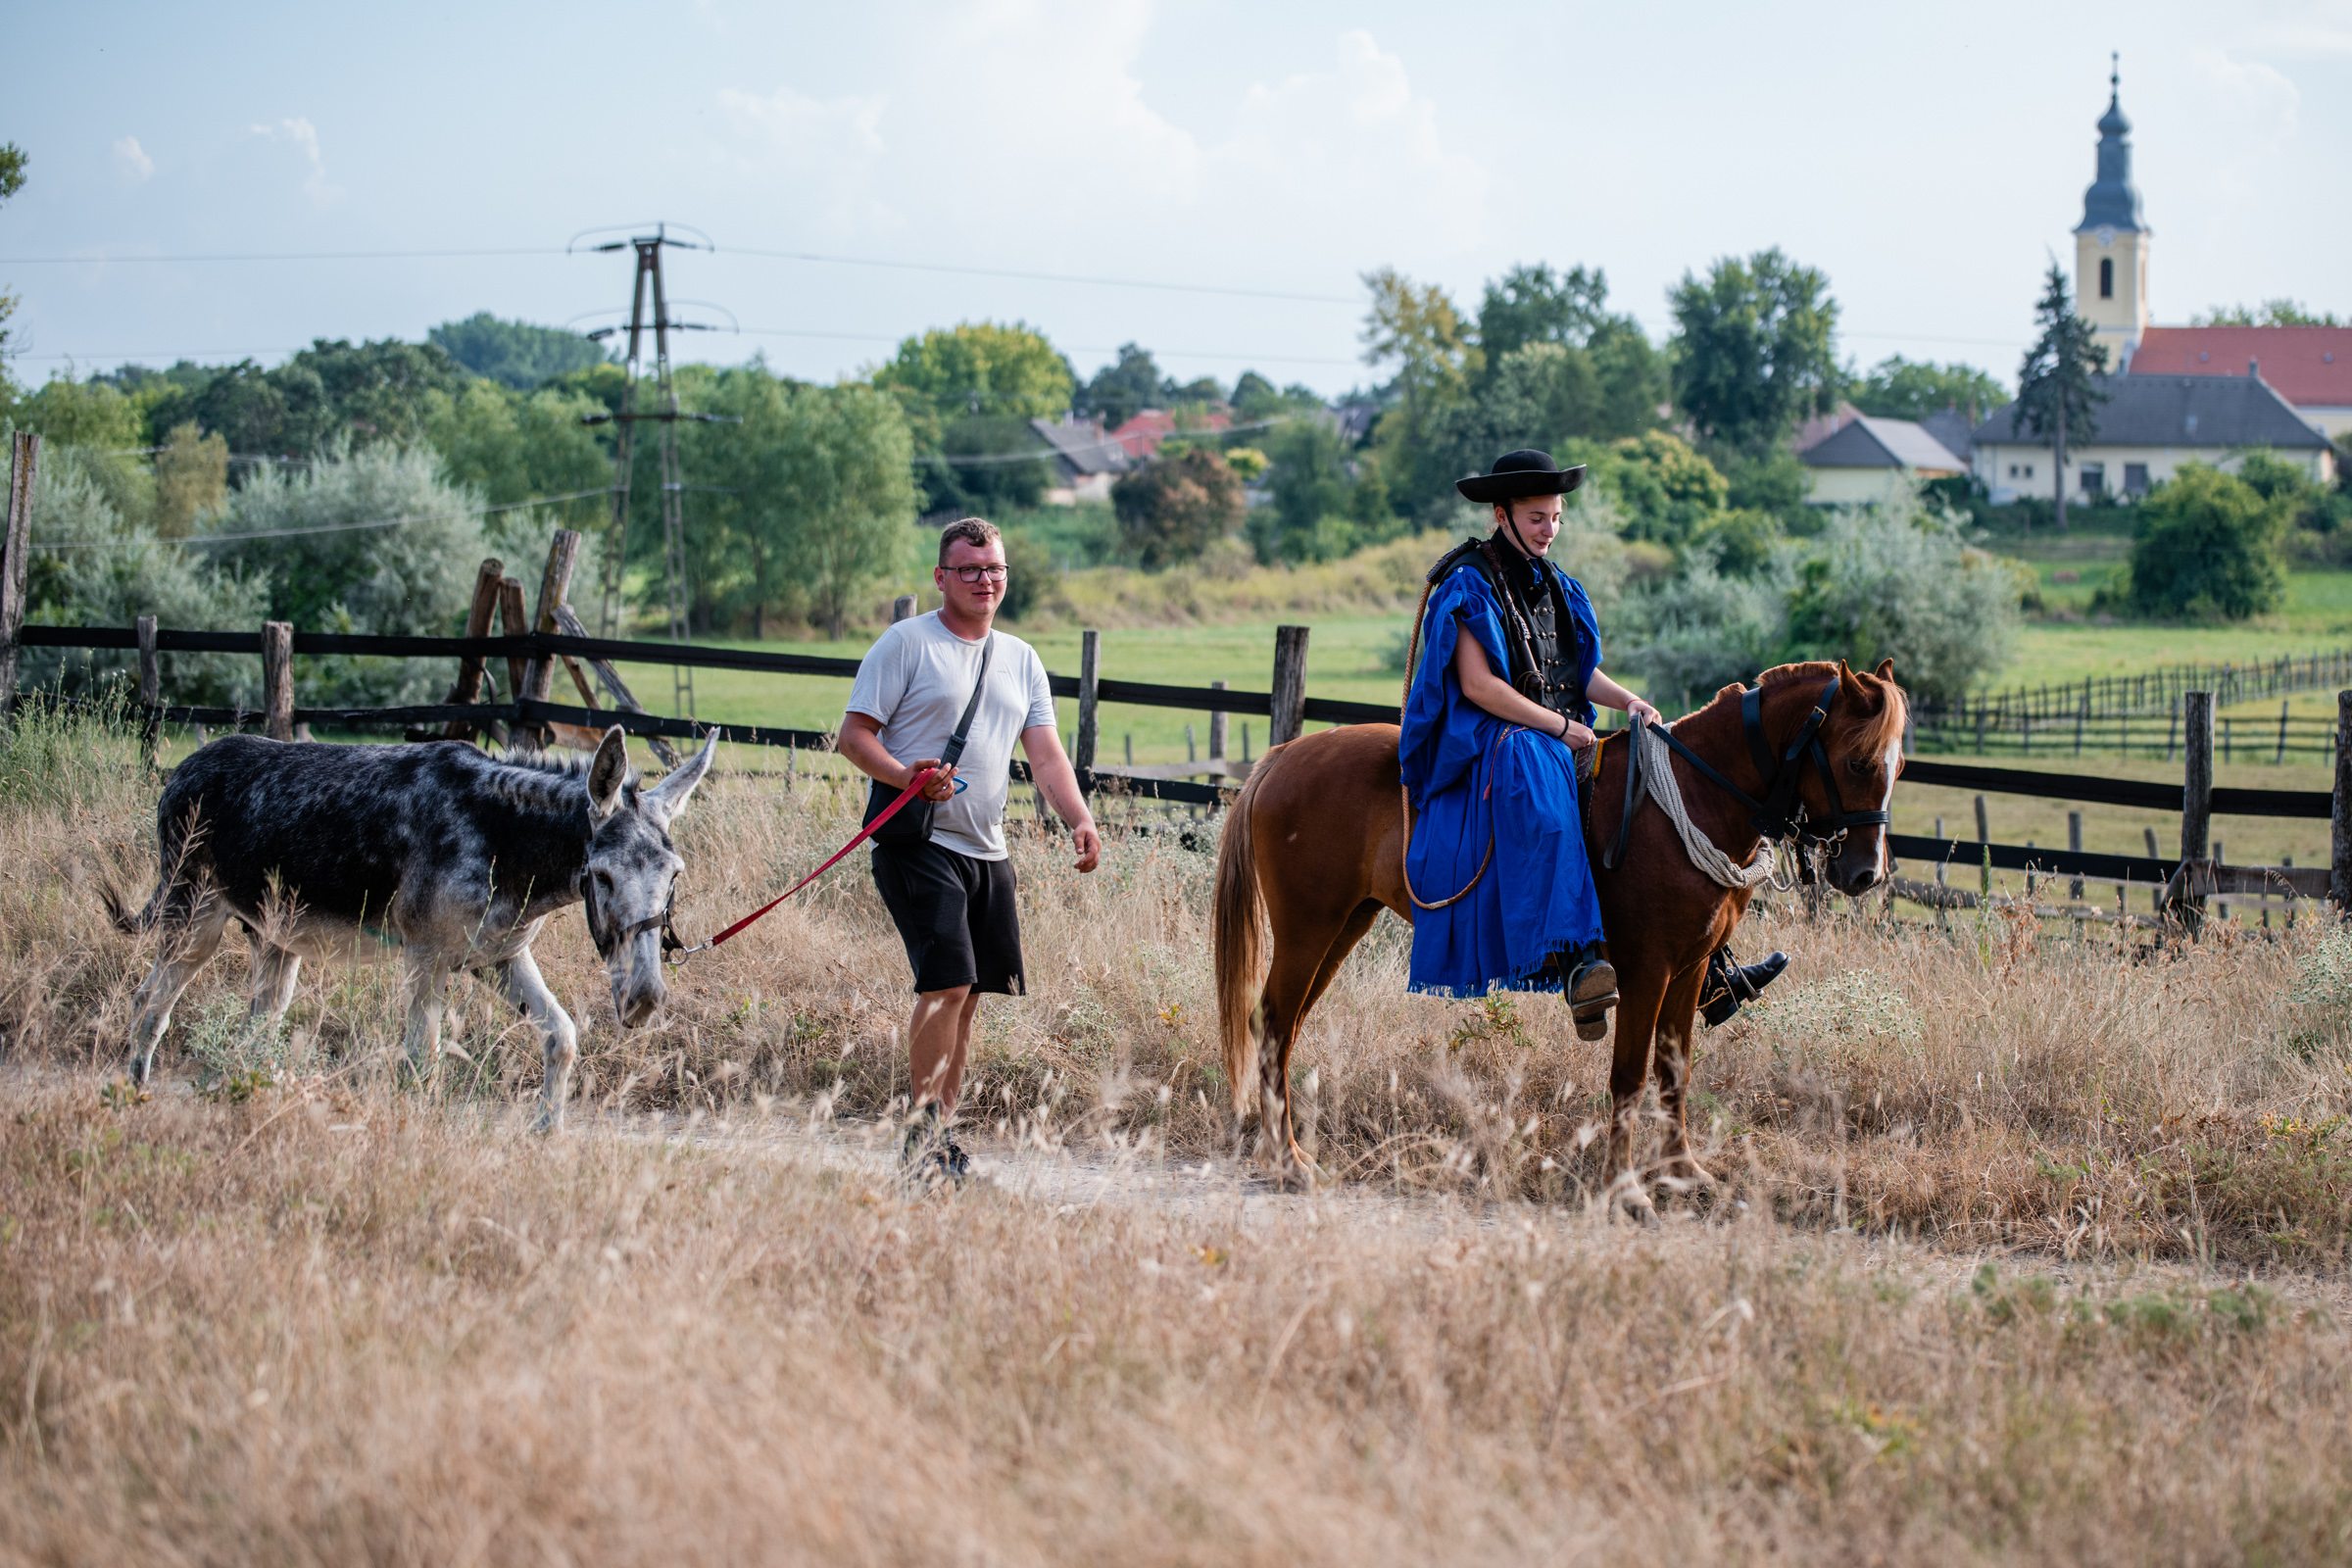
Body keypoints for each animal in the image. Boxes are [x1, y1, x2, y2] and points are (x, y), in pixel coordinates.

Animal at [1223, 658, 1900, 1212]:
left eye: (1895, 766)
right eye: (1859, 762)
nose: (1864, 873)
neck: (1692, 799)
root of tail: (1283, 756)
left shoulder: (1689, 969)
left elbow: (1674, 1069)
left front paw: (1683, 1173)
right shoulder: (1648, 970)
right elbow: (1629, 1076)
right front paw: (1625, 1191)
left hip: (1342, 926)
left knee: (1282, 1029)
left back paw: (1283, 1153)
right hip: (1310, 929)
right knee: (1275, 1022)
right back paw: (1287, 1162)